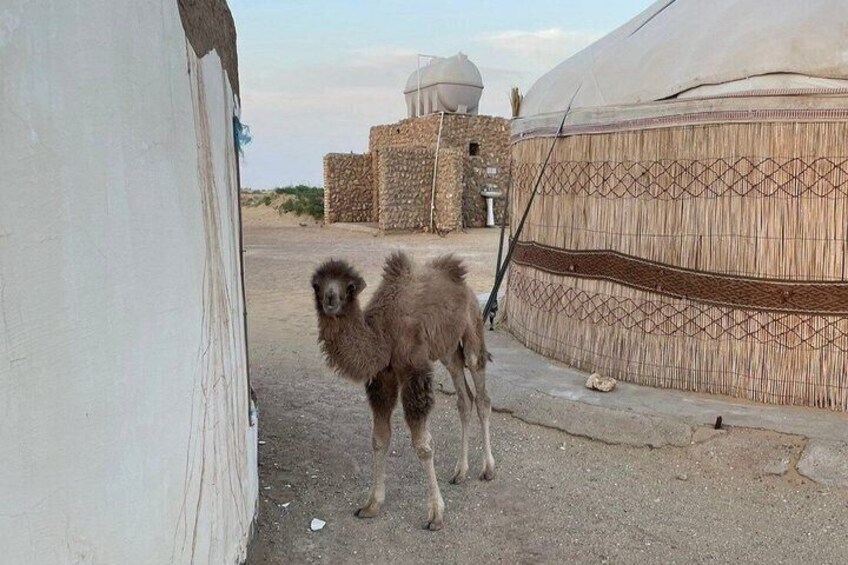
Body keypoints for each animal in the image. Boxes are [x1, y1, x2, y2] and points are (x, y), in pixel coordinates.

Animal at [311, 251, 495, 531]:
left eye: (350, 287)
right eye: (317, 285)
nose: (330, 299)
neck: (383, 335)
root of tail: (468, 290)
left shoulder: (414, 374)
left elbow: (423, 445)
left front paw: (435, 514)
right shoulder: (382, 379)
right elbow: (379, 439)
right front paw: (371, 505)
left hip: (473, 330)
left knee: (482, 394)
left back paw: (488, 469)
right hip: (448, 350)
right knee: (465, 399)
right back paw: (459, 472)